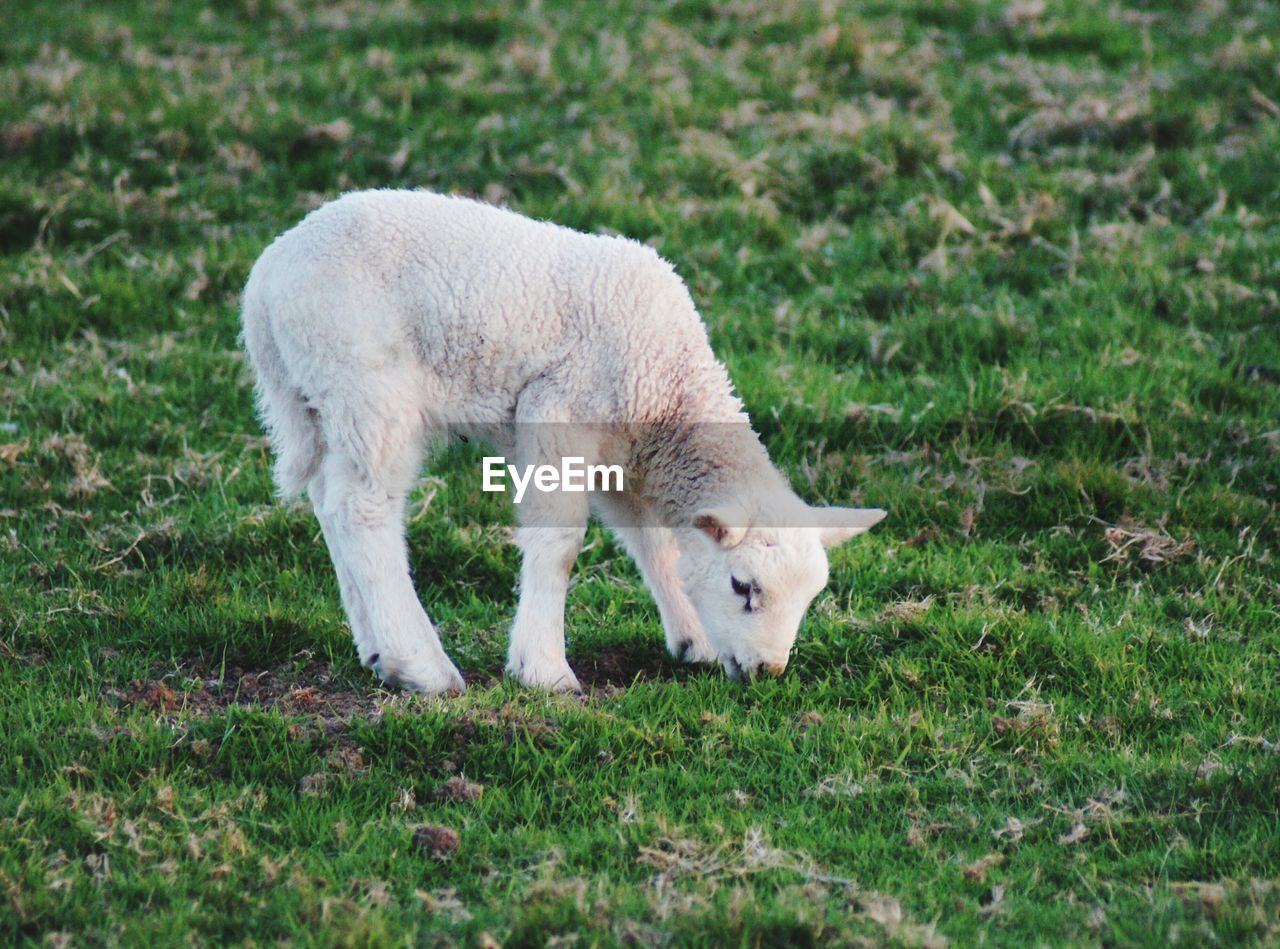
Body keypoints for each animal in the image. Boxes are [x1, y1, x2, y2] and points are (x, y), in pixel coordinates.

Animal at [240, 190, 885, 696]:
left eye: (811, 596)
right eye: (743, 587)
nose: (766, 672)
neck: (670, 393)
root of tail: (264, 285)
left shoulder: (624, 456)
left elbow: (655, 546)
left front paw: (693, 639)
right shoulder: (560, 410)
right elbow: (559, 543)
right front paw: (544, 670)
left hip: (320, 398)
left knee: (330, 501)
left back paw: (376, 649)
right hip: (367, 383)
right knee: (364, 508)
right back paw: (420, 664)